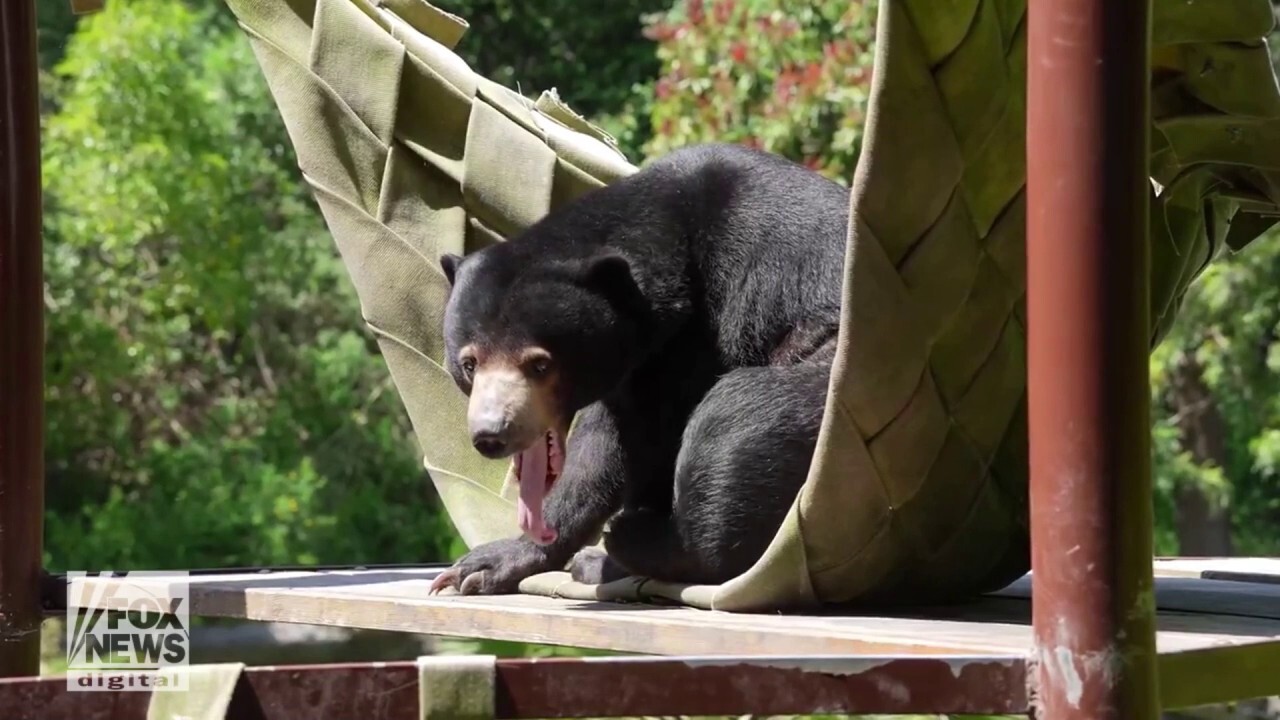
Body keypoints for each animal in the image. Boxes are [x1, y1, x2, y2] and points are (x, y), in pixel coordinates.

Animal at [427, 141, 849, 594]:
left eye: (539, 364)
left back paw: (631, 543)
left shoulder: (697, 332)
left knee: (740, 415)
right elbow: (603, 445)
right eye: (469, 363)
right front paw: (492, 561)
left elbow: (640, 435)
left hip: (824, 370)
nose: (491, 434)